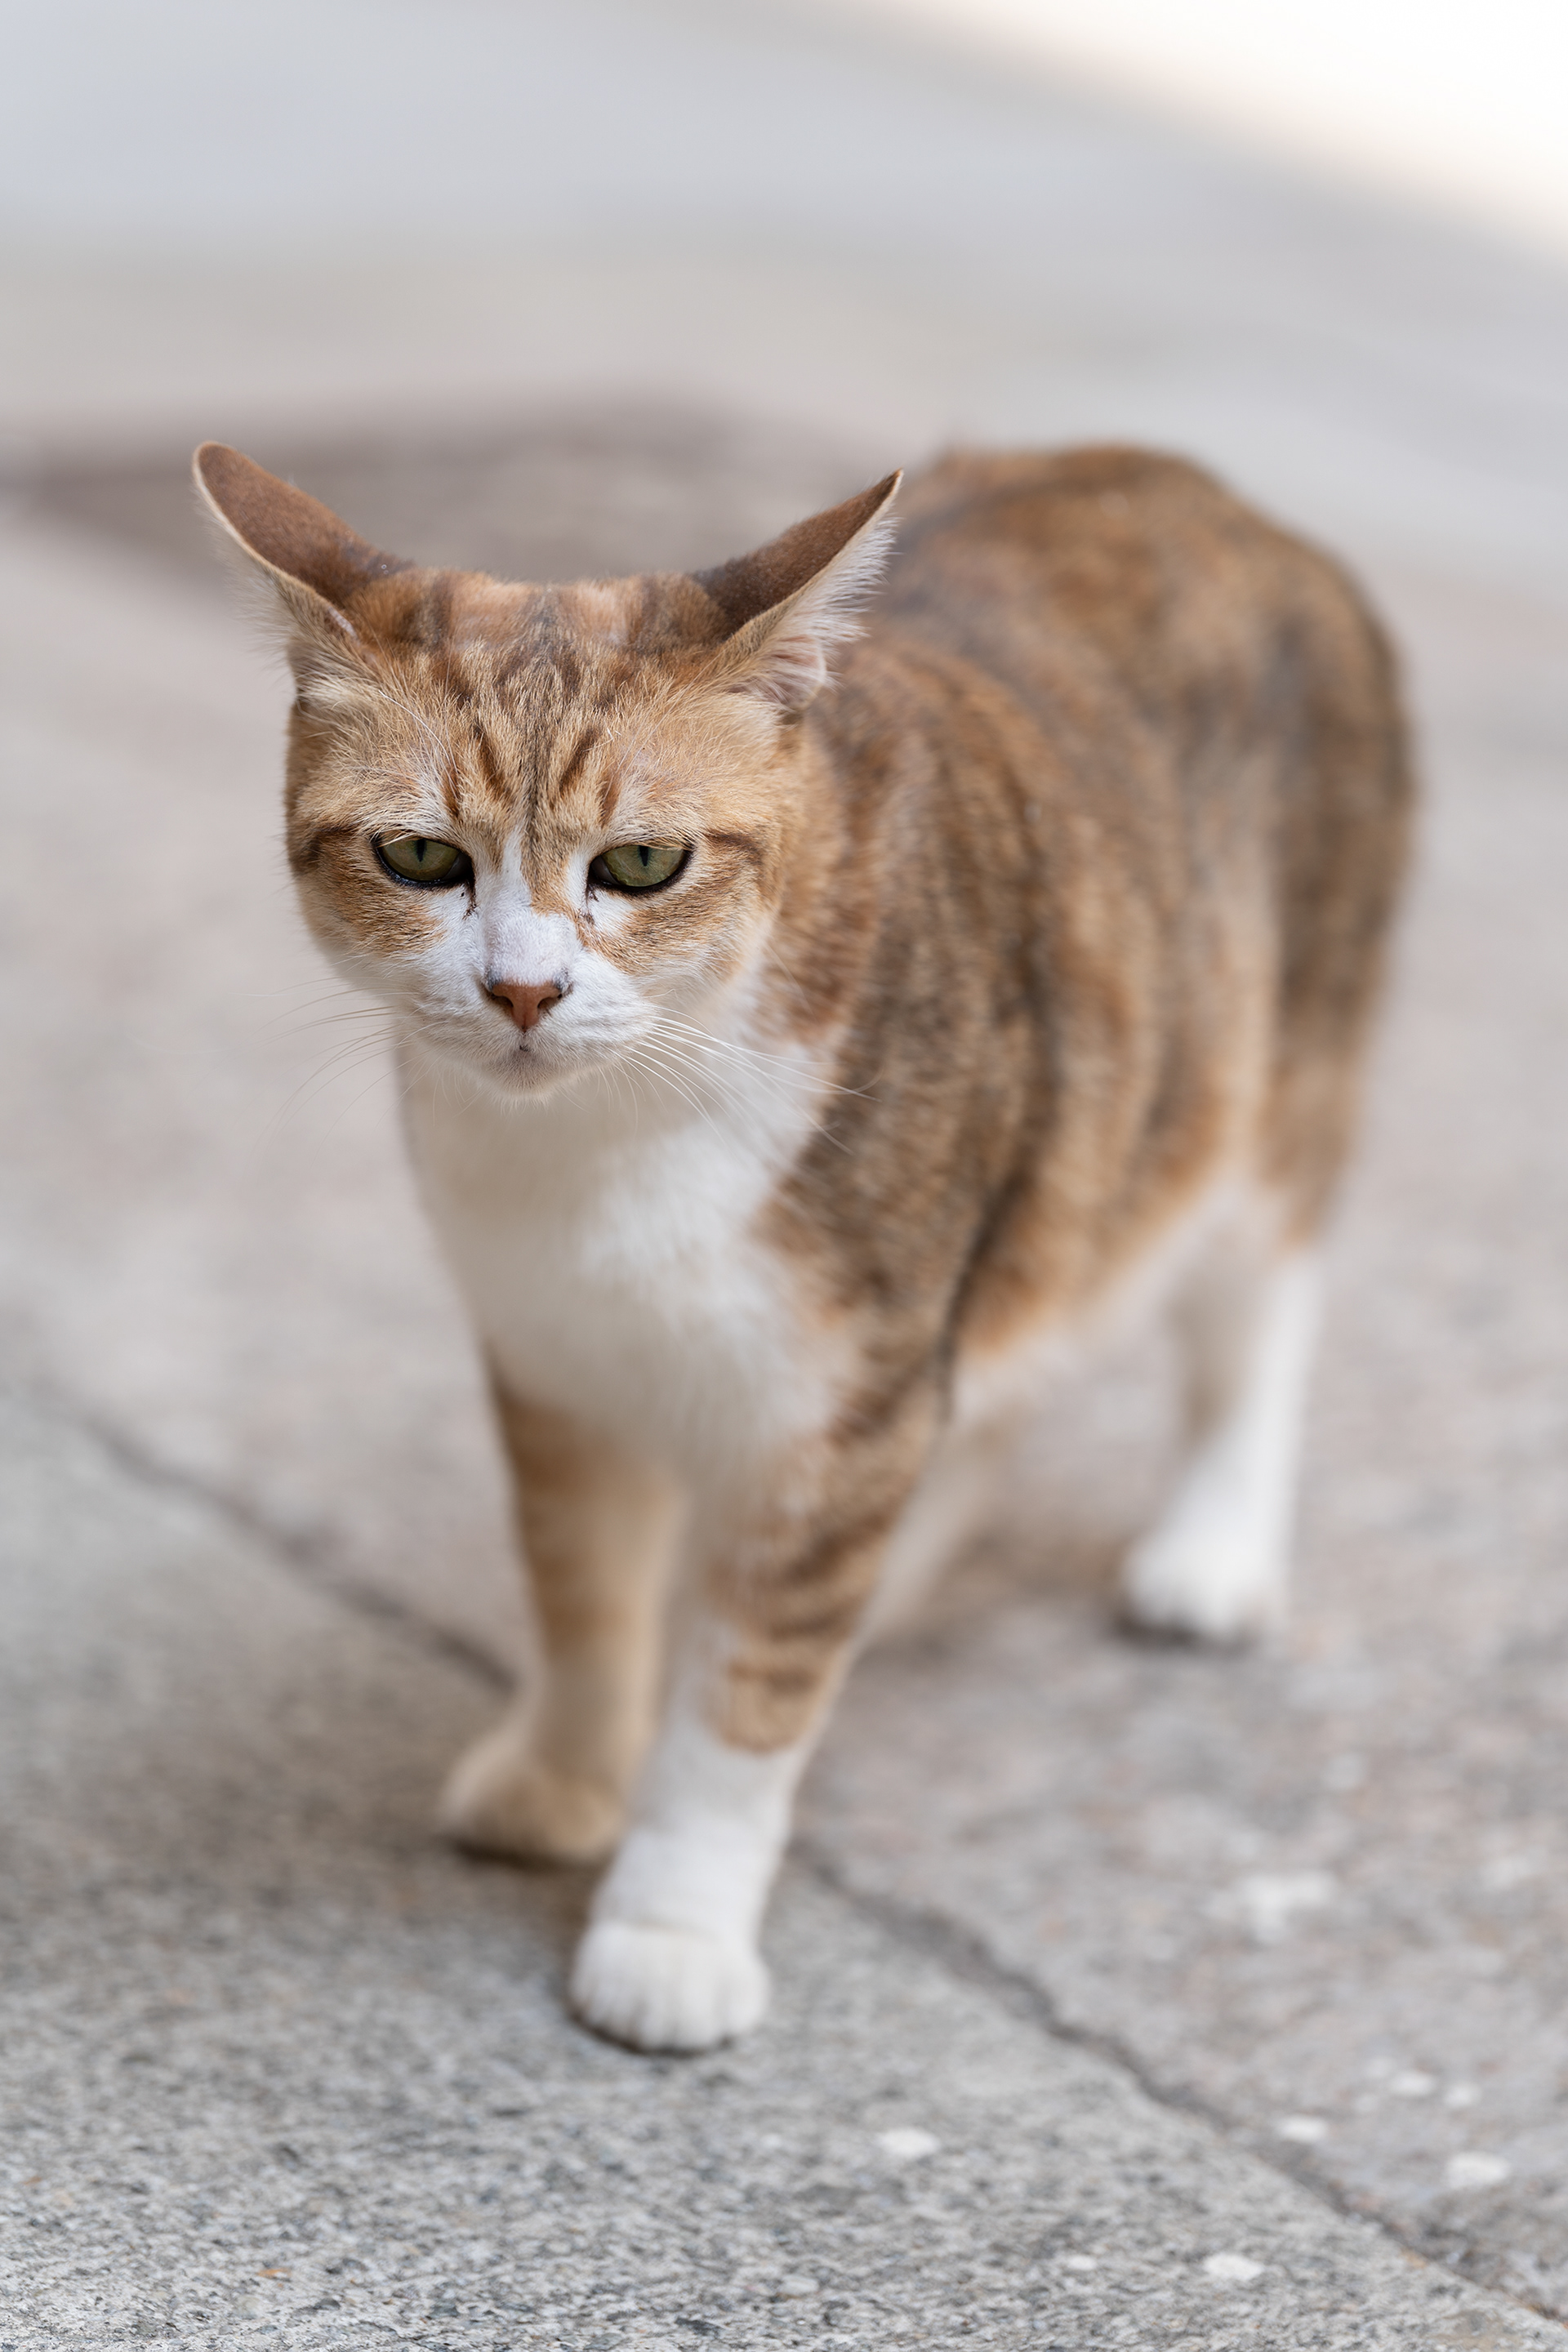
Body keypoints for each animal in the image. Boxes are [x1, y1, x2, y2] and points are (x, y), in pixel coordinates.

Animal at [195, 438, 1412, 2052]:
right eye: (418, 856)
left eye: (643, 863)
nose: (521, 992)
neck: (606, 1150)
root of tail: (1200, 487)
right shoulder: (556, 1363)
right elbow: (581, 1599)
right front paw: (571, 1770)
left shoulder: (845, 1402)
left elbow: (743, 1703)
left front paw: (671, 1923)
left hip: (1259, 1090)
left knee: (1253, 1314)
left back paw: (1208, 1544)